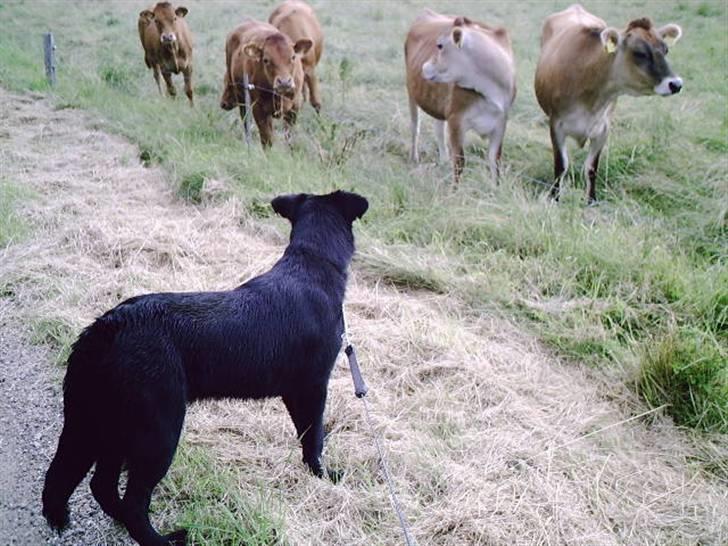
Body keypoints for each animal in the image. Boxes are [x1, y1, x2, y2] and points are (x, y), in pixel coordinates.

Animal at [41, 189, 370, 540]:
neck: (312, 264)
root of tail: (105, 328)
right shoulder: (312, 387)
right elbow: (314, 437)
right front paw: (323, 475)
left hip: (105, 424)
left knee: (97, 484)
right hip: (157, 431)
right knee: (132, 501)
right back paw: (163, 539)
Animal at [219, 19, 310, 148]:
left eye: (293, 57)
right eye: (266, 60)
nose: (284, 82)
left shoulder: (294, 108)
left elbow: (289, 137)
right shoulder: (259, 109)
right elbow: (267, 140)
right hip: (243, 100)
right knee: (246, 122)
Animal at [404, 9, 516, 183]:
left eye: (440, 45)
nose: (423, 67)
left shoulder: (500, 123)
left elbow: (495, 162)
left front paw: (495, 188)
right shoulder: (456, 119)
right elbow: (459, 161)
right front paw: (454, 189)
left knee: (438, 129)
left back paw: (443, 161)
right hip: (411, 91)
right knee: (415, 126)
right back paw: (414, 157)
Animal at [536, 3, 684, 202]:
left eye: (666, 50)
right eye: (640, 53)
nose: (676, 84)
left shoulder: (603, 130)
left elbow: (591, 168)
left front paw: (591, 200)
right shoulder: (556, 124)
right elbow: (561, 165)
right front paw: (554, 198)